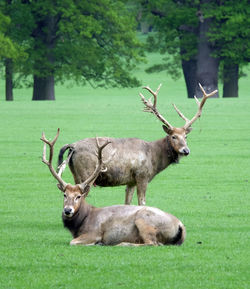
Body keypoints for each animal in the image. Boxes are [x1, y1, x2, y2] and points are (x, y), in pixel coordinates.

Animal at [57, 83, 216, 205]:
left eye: (186, 136)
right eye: (173, 136)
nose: (185, 150)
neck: (154, 158)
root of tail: (72, 146)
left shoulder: (131, 181)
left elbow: (128, 203)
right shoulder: (142, 176)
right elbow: (142, 203)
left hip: (76, 173)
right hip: (87, 173)